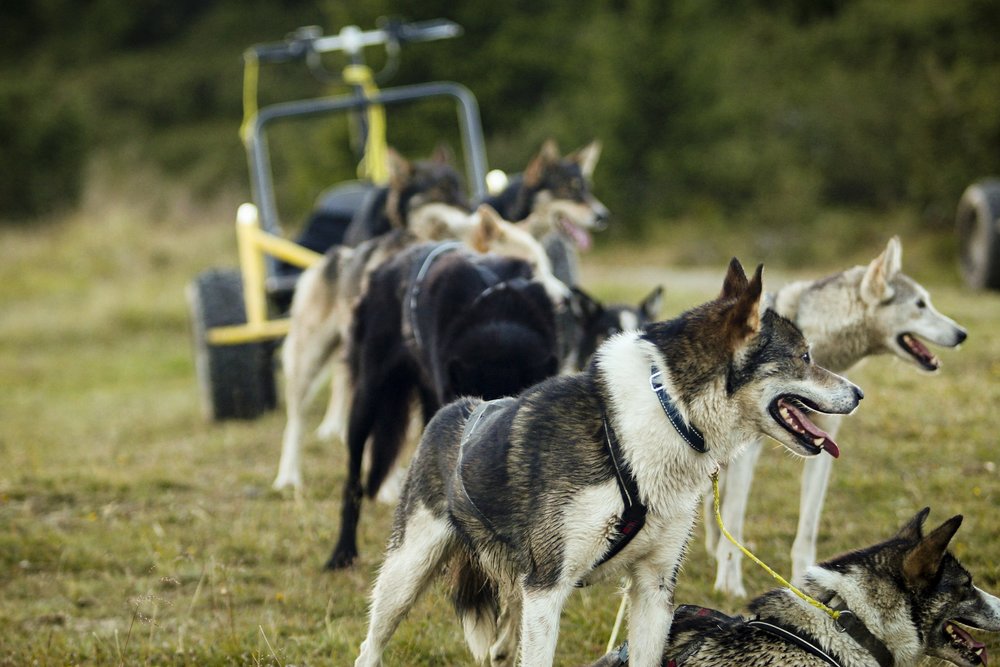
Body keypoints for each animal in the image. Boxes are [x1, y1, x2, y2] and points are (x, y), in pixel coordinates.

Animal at [356, 260, 864, 667]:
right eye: (805, 356)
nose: (859, 393)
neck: (665, 416)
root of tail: (454, 410)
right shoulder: (548, 589)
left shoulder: (654, 589)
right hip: (406, 574)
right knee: (371, 646)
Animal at [712, 237, 968, 596]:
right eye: (920, 304)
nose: (962, 334)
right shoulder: (748, 453)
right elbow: (734, 522)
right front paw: (729, 585)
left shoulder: (822, 448)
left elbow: (806, 531)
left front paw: (804, 588)